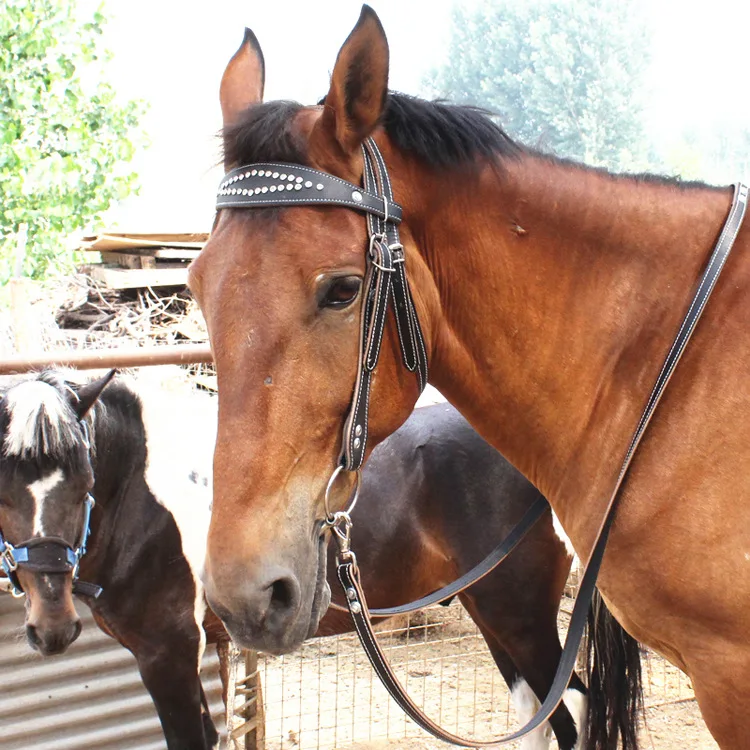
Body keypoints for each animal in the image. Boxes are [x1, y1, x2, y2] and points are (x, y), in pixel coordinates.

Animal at [0, 371, 590, 750]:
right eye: (2, 492)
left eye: (85, 478)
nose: (51, 627)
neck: (141, 492)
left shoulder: (167, 651)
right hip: (489, 608)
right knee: (535, 713)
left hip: (519, 614)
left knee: (572, 710)